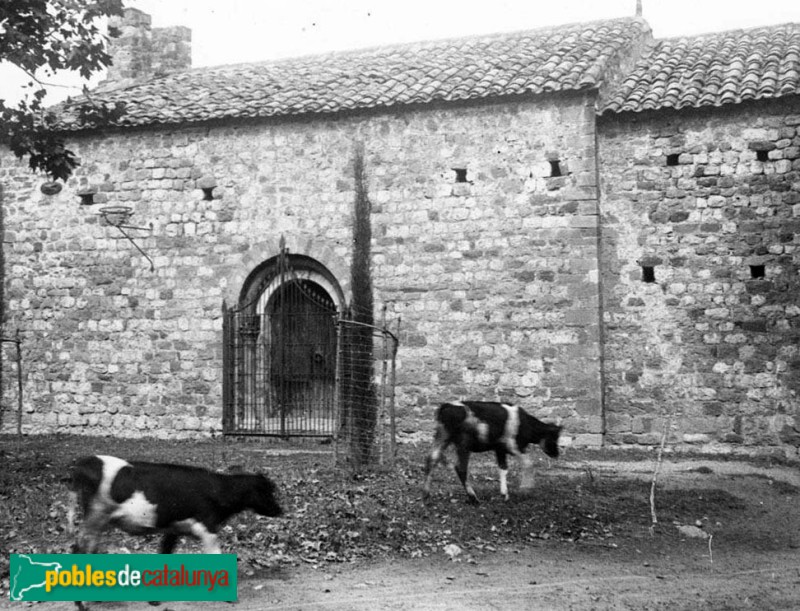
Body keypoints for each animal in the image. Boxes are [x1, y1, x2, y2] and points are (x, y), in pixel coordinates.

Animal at [67, 456, 282, 556]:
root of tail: (85, 462)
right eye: (267, 491)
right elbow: (215, 553)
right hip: (94, 518)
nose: (280, 510)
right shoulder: (207, 526)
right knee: (80, 550)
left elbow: (165, 552)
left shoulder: (174, 529)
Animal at [422, 402, 560, 502]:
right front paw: (525, 489)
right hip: (463, 444)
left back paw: (426, 494)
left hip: (443, 437)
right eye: (554, 437)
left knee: (431, 459)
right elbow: (528, 463)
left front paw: (504, 494)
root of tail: (447, 406)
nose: (556, 454)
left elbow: (503, 468)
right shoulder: (513, 446)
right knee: (460, 468)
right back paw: (473, 498)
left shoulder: (500, 449)